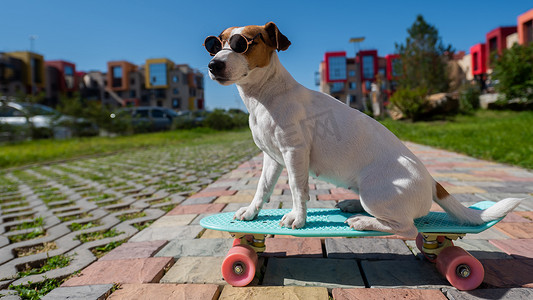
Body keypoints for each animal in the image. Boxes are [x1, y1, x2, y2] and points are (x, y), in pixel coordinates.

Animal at [203, 21, 520, 238]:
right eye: (217, 44)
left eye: (243, 44)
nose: (213, 64)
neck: (264, 95)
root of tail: (433, 183)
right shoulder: (272, 158)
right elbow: (263, 188)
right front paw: (251, 212)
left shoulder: (295, 153)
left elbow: (296, 188)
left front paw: (298, 219)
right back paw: (352, 206)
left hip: (374, 192)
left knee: (406, 229)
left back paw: (364, 221)